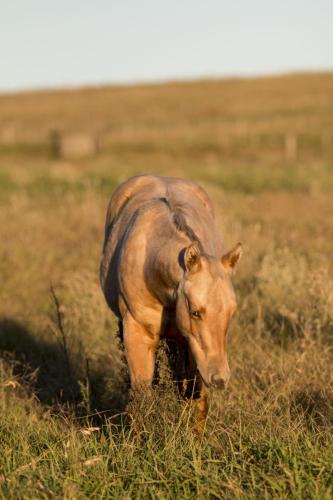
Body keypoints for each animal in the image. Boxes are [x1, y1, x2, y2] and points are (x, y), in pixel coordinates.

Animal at [99, 174, 241, 432]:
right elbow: (142, 397)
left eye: (231, 313)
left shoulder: (191, 343)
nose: (219, 379)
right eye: (195, 312)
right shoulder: (137, 332)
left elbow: (196, 397)